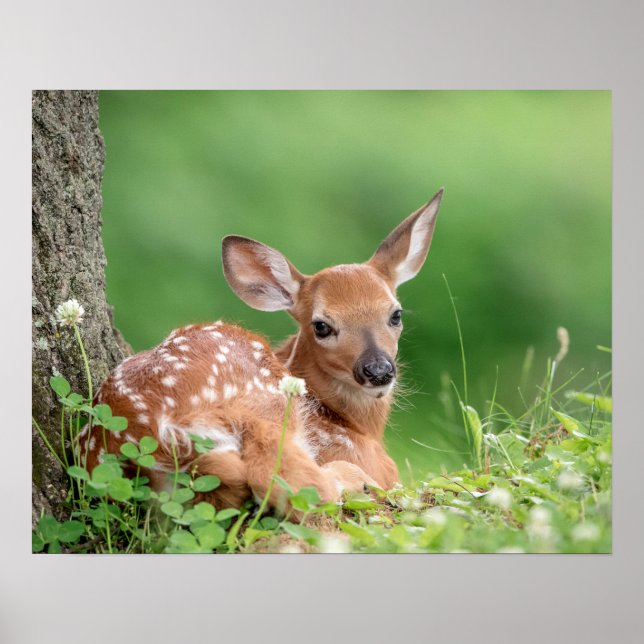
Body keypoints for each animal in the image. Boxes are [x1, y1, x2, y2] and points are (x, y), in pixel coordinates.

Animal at [79, 188, 444, 513]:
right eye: (321, 326)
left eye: (395, 314)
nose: (378, 370)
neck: (354, 424)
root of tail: (157, 432)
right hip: (265, 404)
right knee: (291, 482)